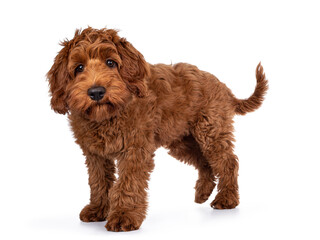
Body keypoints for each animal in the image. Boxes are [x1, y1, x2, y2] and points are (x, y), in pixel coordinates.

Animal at [47, 27, 268, 232]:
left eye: (110, 62)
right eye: (79, 68)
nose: (96, 92)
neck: (108, 116)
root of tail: (224, 88)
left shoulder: (135, 150)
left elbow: (128, 182)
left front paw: (124, 215)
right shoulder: (95, 154)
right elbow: (99, 182)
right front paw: (98, 209)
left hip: (211, 132)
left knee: (227, 162)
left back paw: (227, 198)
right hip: (182, 141)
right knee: (204, 162)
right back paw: (202, 193)